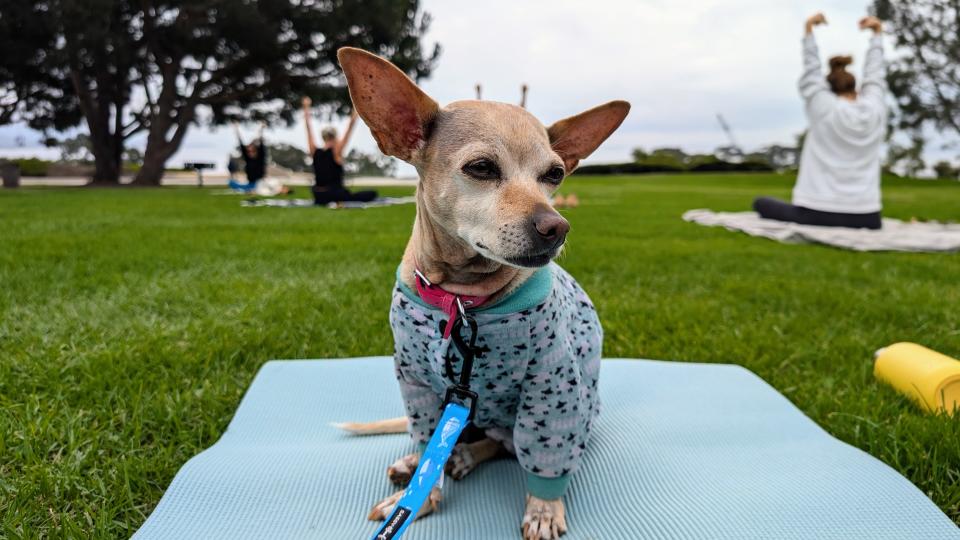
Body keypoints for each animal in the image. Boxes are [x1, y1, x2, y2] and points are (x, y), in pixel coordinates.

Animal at [338, 47, 632, 540]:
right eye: (481, 168)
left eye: (555, 174)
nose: (557, 227)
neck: (463, 299)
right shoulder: (416, 382)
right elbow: (427, 441)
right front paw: (420, 496)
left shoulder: (551, 386)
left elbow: (543, 457)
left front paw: (543, 508)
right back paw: (418, 462)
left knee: (500, 444)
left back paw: (463, 456)